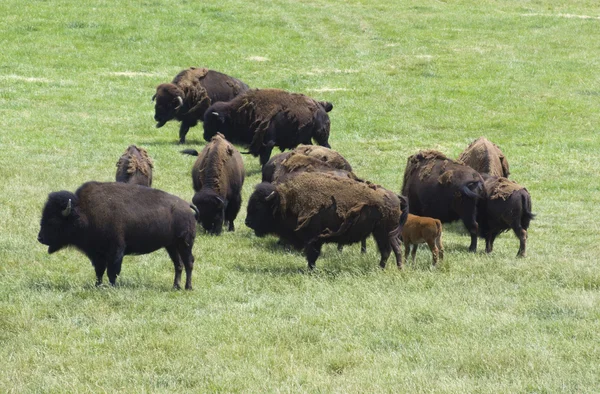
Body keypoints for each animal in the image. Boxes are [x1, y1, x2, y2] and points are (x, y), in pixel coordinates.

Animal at [36, 182, 198, 290]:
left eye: (53, 220)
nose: (40, 238)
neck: (83, 212)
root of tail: (186, 206)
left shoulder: (115, 251)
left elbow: (112, 271)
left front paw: (112, 287)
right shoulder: (97, 255)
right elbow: (99, 271)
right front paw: (97, 285)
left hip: (185, 244)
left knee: (189, 262)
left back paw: (188, 287)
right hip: (171, 246)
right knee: (178, 264)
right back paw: (175, 286)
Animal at [202, 88, 332, 165]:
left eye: (213, 122)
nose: (205, 136)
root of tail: (321, 105)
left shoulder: (268, 143)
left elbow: (265, 157)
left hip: (321, 135)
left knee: (326, 146)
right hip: (307, 138)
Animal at [244, 172, 408, 270]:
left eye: (258, 207)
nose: (247, 222)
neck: (286, 201)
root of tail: (395, 197)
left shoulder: (313, 239)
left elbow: (312, 255)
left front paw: (310, 270)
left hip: (383, 233)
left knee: (389, 250)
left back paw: (386, 268)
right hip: (384, 233)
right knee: (394, 249)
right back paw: (394, 268)